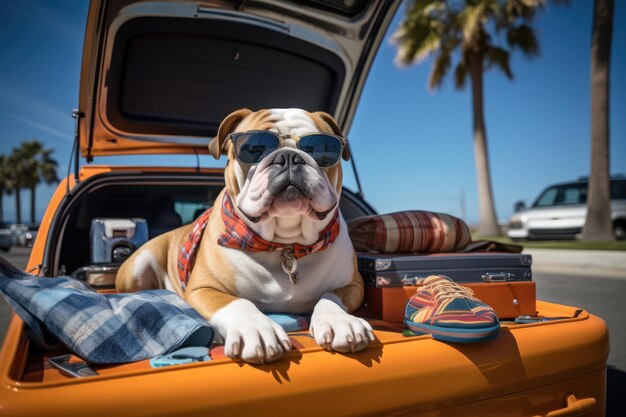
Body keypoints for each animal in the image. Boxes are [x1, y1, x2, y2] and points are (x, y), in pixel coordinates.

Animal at [115, 108, 372, 364]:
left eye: (319, 148)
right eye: (254, 149)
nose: (289, 156)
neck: (284, 245)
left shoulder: (353, 285)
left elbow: (331, 296)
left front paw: (340, 321)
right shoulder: (203, 289)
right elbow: (235, 302)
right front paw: (257, 329)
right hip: (138, 266)